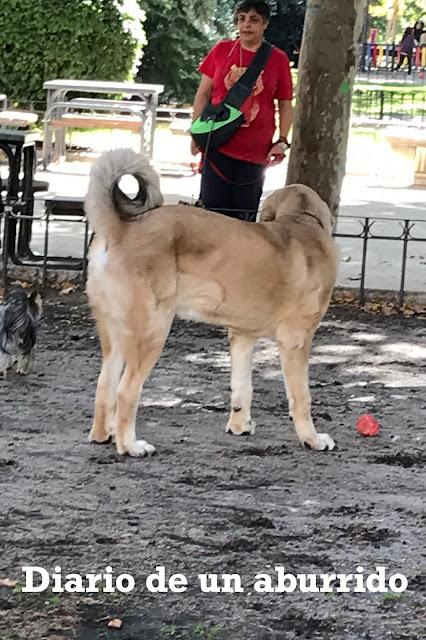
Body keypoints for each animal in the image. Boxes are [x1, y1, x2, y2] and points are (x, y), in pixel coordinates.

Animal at [85, 148, 340, 458]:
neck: (302, 219)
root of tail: (120, 228)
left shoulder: (241, 336)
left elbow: (242, 387)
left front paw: (240, 425)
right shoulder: (296, 340)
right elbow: (301, 397)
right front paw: (312, 439)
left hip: (115, 334)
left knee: (104, 385)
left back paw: (103, 435)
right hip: (151, 333)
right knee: (126, 391)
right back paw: (130, 446)